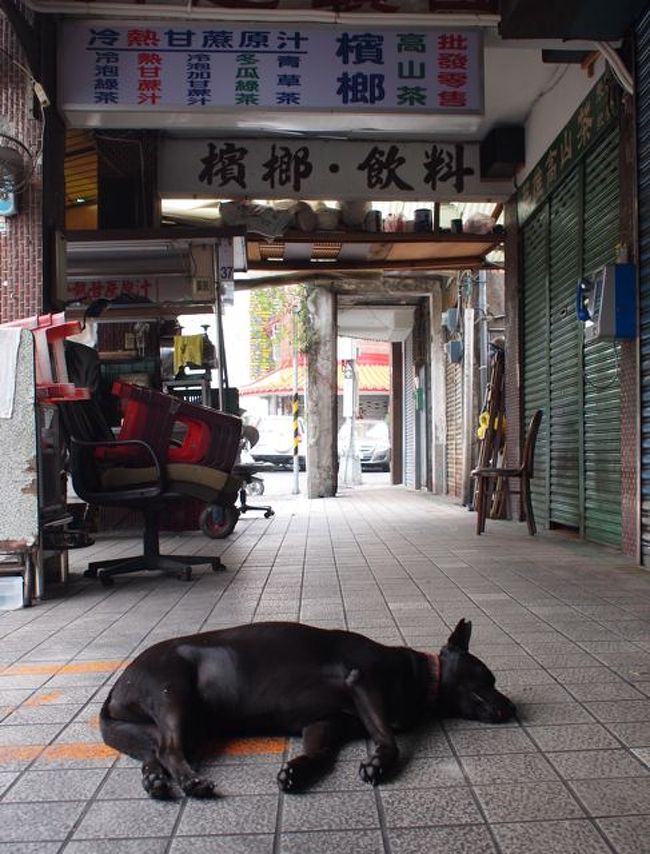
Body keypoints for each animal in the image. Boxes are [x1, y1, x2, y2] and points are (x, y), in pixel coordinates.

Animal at [100, 620, 516, 800]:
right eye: (488, 678)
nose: (513, 709)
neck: (422, 676)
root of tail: (117, 686)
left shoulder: (323, 724)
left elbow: (320, 755)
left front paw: (297, 771)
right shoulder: (363, 683)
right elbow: (390, 740)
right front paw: (378, 764)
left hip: (153, 728)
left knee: (154, 753)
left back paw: (155, 782)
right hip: (173, 693)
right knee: (171, 750)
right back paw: (190, 782)